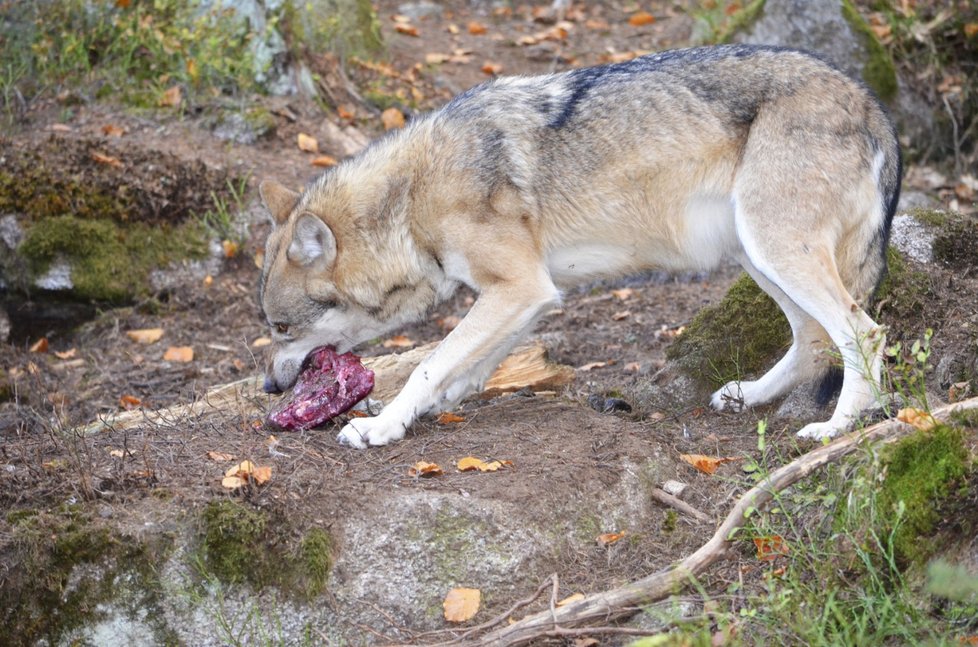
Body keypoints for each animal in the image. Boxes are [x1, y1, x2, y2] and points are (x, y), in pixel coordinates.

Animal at [258, 45, 900, 448]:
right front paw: (423, 409)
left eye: (282, 329)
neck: (410, 201)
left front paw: (379, 427)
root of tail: (872, 103)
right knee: (812, 337)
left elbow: (428, 364)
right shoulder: (526, 295)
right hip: (756, 254)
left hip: (775, 250)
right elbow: (463, 368)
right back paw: (750, 395)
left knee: (861, 332)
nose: (269, 386)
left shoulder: (519, 287)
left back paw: (837, 429)